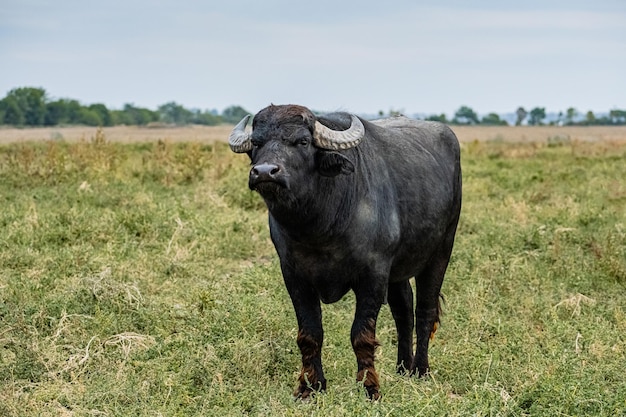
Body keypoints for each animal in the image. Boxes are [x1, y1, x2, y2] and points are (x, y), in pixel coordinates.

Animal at [225, 104, 458, 400]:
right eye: (256, 143)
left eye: (303, 141)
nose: (265, 172)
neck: (320, 224)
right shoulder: (294, 276)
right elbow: (310, 334)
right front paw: (310, 387)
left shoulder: (372, 275)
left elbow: (361, 335)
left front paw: (369, 388)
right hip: (398, 270)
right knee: (403, 310)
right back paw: (402, 368)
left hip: (441, 251)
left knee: (425, 310)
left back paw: (420, 370)